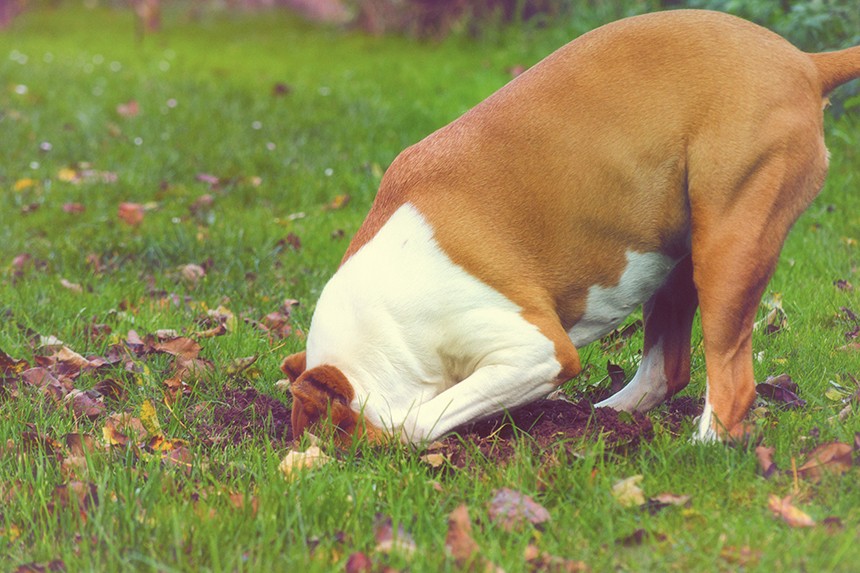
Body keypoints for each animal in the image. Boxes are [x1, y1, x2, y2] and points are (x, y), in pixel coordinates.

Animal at [278, 10, 856, 446]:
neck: (388, 320)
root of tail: (805, 62)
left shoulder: (536, 351)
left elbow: (420, 419)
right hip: (680, 258)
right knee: (665, 370)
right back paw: (602, 417)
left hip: (728, 251)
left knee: (731, 384)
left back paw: (706, 447)